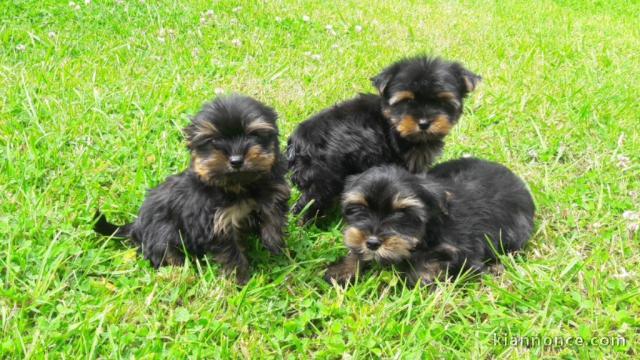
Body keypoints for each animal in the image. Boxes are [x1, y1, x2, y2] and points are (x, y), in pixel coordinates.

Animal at [94, 95, 290, 284]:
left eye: (254, 135)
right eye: (214, 141)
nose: (236, 160)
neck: (239, 186)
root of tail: (136, 225)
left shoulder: (273, 188)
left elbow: (273, 208)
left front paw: (273, 241)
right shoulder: (216, 224)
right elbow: (231, 252)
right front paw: (242, 279)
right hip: (161, 234)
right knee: (167, 252)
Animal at [288, 56, 480, 224]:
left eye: (442, 101)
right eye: (407, 101)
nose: (424, 123)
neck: (392, 120)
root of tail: (295, 147)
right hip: (322, 178)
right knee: (309, 203)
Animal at [324, 158, 536, 286]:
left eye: (401, 214)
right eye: (359, 208)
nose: (373, 243)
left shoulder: (461, 250)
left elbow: (431, 263)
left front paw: (420, 278)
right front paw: (342, 270)